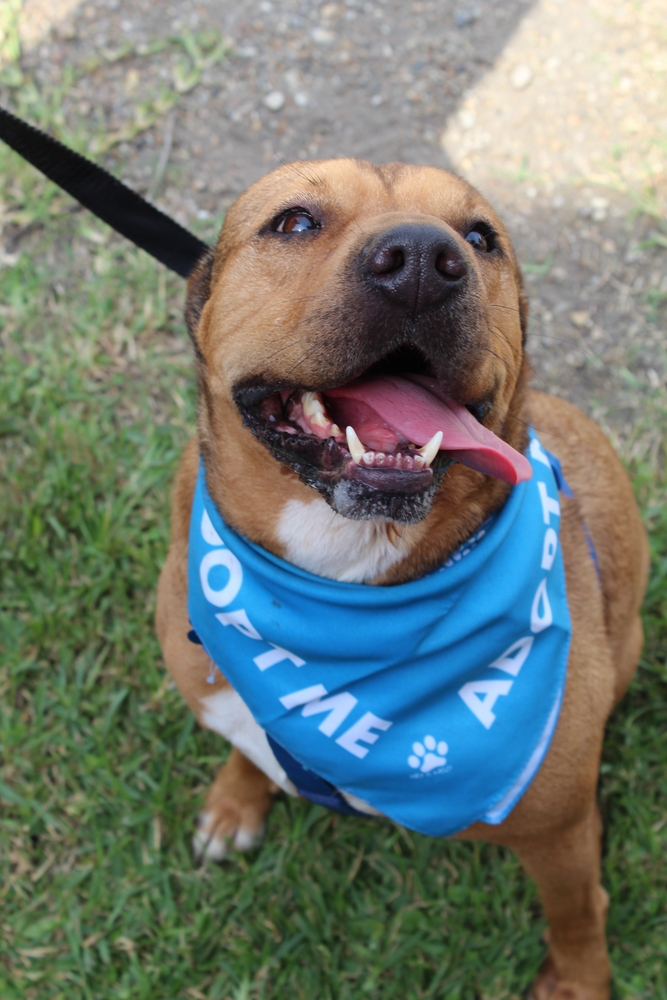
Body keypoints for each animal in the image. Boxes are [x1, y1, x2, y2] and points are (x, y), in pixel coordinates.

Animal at [155, 160, 648, 996]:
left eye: (480, 238)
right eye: (294, 222)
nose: (422, 258)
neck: (339, 587)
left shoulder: (559, 835)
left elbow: (578, 914)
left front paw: (580, 980)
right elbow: (248, 742)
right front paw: (235, 798)